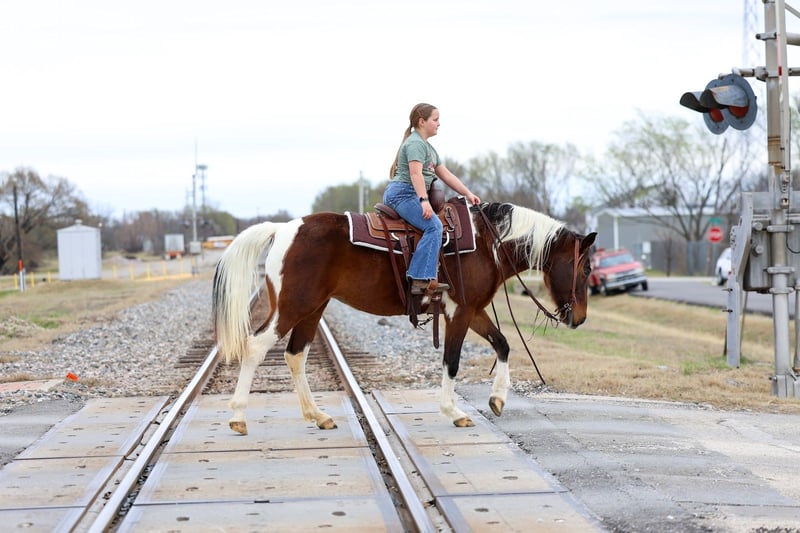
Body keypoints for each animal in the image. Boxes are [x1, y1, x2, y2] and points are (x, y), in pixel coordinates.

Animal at [212, 201, 597, 435]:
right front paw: (453, 411)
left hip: (313, 308)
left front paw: (498, 399)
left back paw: (317, 415)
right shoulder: (459, 312)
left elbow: (502, 344)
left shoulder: (472, 310)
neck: (487, 244)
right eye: (586, 268)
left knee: (295, 355)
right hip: (293, 306)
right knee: (255, 347)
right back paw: (238, 416)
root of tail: (283, 229)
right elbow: (452, 362)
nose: (579, 319)